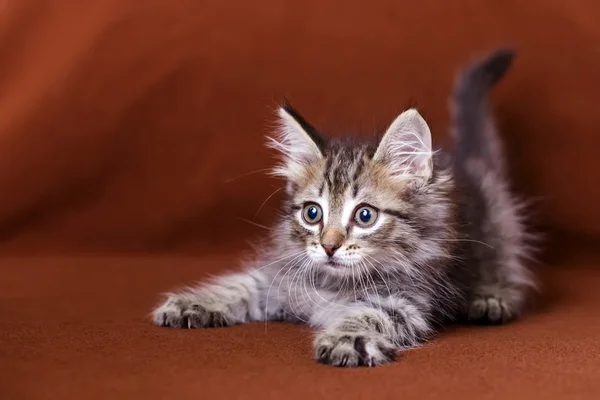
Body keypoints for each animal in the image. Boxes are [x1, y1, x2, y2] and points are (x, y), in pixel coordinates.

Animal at [152, 48, 536, 368]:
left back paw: (490, 298)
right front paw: (195, 302)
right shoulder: (280, 277)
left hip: (500, 222)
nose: (329, 246)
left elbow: (368, 315)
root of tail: (466, 163)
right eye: (312, 213)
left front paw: (348, 339)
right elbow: (241, 284)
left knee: (506, 262)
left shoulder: (406, 301)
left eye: (365, 216)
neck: (335, 285)